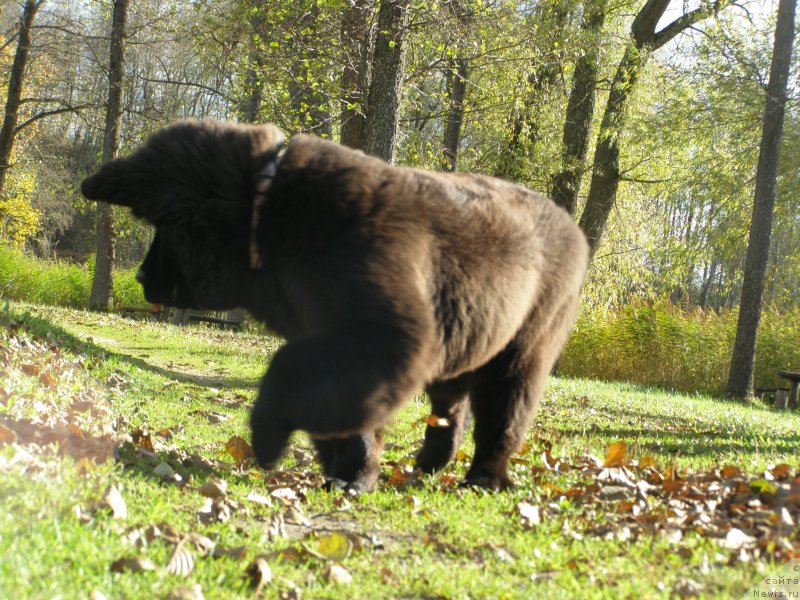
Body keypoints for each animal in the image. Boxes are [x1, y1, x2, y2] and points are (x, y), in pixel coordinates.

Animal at [83, 118, 588, 492]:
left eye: (171, 227)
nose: (141, 277)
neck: (270, 217)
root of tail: (574, 228)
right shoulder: (347, 347)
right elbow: (338, 409)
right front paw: (346, 472)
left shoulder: (388, 338)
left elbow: (290, 371)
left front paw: (270, 441)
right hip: (467, 339)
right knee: (451, 412)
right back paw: (426, 465)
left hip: (523, 349)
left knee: (502, 417)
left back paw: (485, 478)